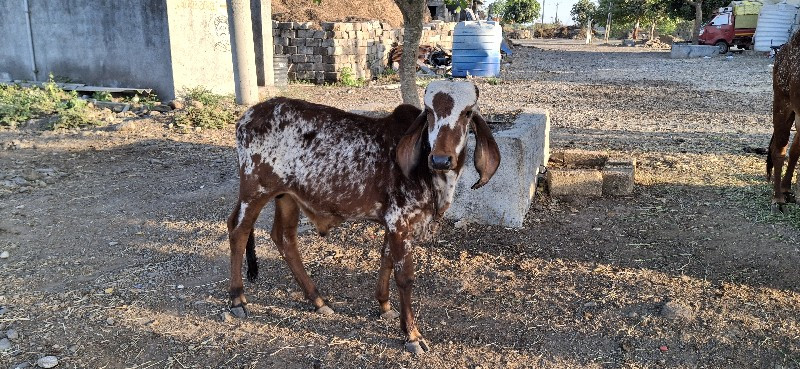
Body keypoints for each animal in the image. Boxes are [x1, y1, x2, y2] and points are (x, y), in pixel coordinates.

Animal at [227, 81, 500, 354]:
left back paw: (317, 300)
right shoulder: (399, 221)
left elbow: (386, 259)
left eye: (467, 113)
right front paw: (412, 334)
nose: (441, 159)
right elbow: (404, 277)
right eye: (429, 111)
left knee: (284, 237)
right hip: (255, 190)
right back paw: (238, 299)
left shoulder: (393, 223)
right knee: (238, 230)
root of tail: (248, 116)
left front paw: (384, 306)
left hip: (286, 196)